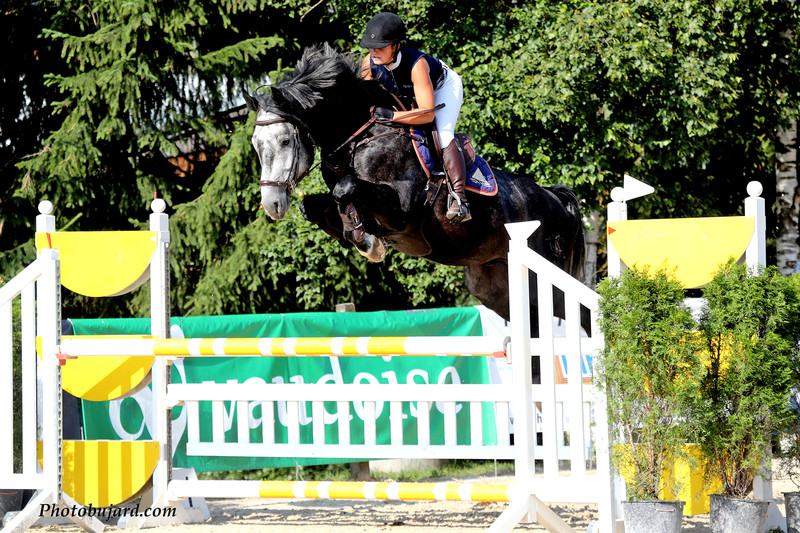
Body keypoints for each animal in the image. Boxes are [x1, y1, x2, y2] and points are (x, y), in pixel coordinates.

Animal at [243, 45, 586, 335]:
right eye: (256, 144)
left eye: (285, 141)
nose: (272, 204)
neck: (359, 137)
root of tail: (555, 199)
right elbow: (318, 205)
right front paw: (363, 239)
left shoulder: (401, 210)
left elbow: (346, 188)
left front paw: (367, 241)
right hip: (496, 286)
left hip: (548, 281)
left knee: (583, 312)